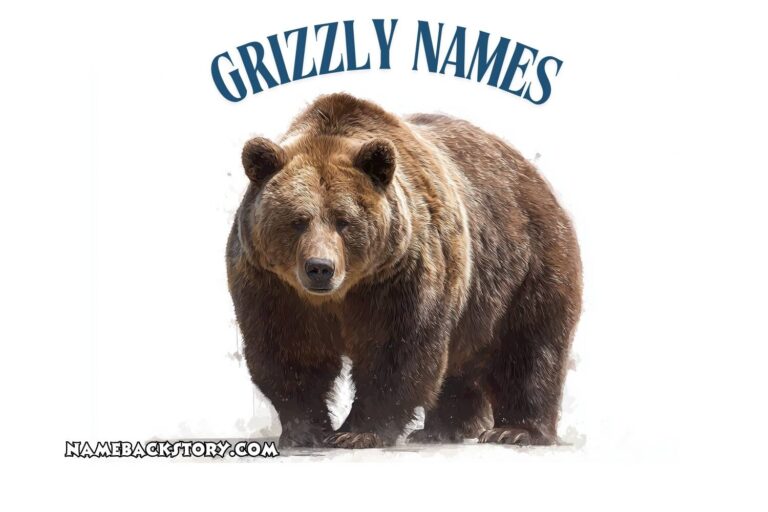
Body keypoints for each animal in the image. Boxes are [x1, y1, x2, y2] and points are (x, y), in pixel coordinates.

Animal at [226, 93, 582, 449]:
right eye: (298, 221)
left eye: (344, 221)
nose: (320, 268)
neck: (343, 293)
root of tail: (527, 170)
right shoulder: (274, 287)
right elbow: (289, 351)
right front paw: (306, 432)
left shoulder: (400, 276)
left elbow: (395, 351)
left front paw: (357, 432)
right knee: (460, 363)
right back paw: (445, 428)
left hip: (525, 264)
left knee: (526, 349)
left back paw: (514, 430)